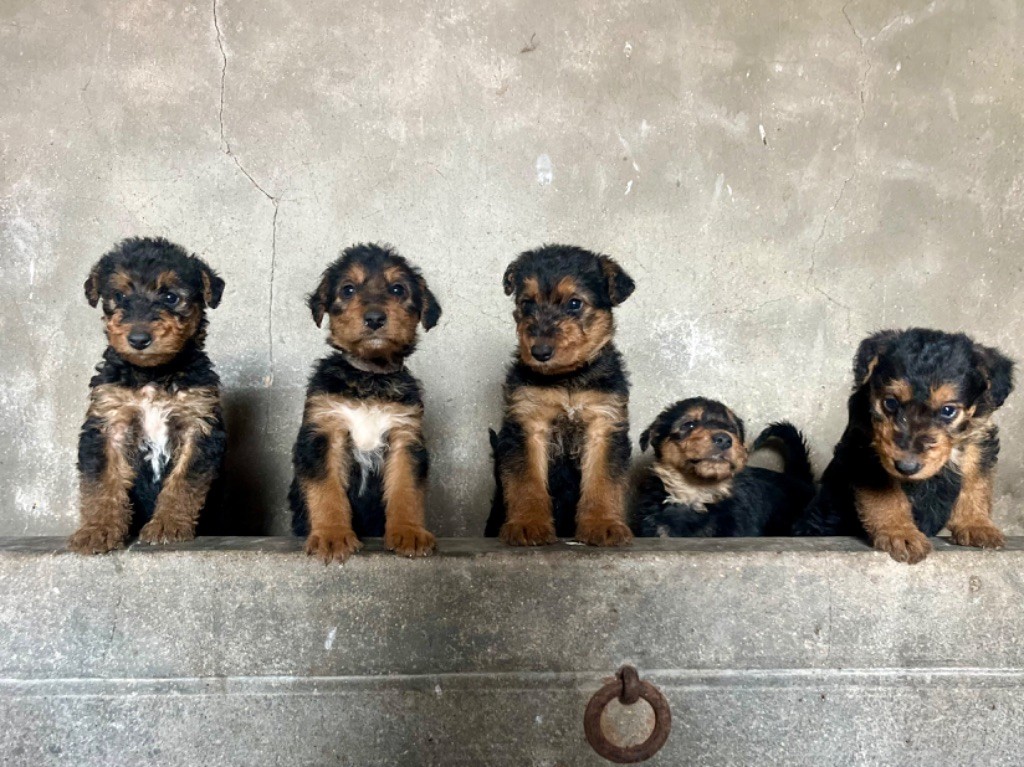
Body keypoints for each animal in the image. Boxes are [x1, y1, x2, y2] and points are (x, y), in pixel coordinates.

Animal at [69, 236, 227, 552]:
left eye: (170, 297)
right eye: (119, 296)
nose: (139, 339)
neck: (152, 376)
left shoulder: (198, 424)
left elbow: (184, 482)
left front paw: (168, 525)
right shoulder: (107, 424)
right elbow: (102, 482)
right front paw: (98, 530)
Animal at [288, 242, 440, 561]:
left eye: (397, 289)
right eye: (348, 289)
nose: (374, 318)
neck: (369, 376)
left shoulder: (405, 436)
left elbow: (406, 489)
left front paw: (409, 533)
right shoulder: (322, 434)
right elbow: (326, 490)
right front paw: (332, 536)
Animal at [485, 243, 634, 544]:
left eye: (574, 303)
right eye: (526, 303)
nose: (539, 352)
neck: (567, 378)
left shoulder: (604, 424)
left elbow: (603, 481)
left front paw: (603, 525)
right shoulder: (527, 423)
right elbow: (526, 482)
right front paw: (527, 524)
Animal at [794, 327, 1011, 561]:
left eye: (948, 410)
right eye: (890, 402)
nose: (907, 467)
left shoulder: (977, 440)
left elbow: (975, 482)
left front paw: (977, 525)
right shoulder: (867, 451)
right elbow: (886, 497)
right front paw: (899, 533)